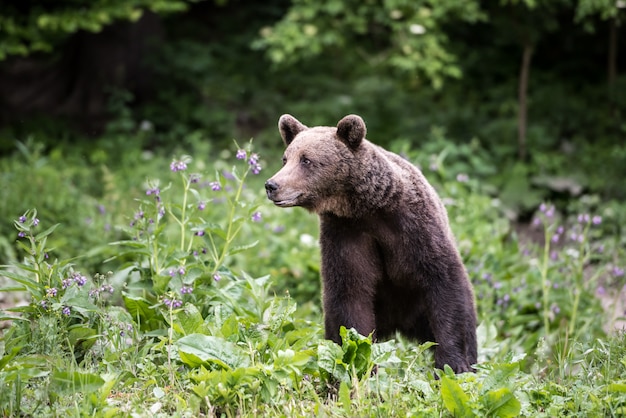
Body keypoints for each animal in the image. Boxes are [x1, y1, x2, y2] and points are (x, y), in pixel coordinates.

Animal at [264, 113, 478, 372]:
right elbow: (350, 293)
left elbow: (444, 281)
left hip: (420, 310)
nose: (272, 185)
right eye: (285, 159)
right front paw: (359, 360)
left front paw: (452, 364)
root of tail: (399, 325)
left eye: (306, 160)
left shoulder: (415, 228)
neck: (368, 208)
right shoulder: (346, 233)